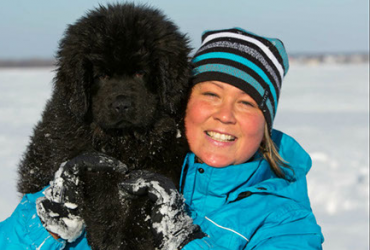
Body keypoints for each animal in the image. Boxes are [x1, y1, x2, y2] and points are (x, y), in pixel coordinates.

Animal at [17, 2, 191, 249]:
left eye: (140, 72)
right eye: (102, 75)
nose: (122, 104)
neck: (125, 138)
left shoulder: (164, 158)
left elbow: (143, 206)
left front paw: (136, 240)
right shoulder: (88, 159)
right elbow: (102, 199)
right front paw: (106, 238)